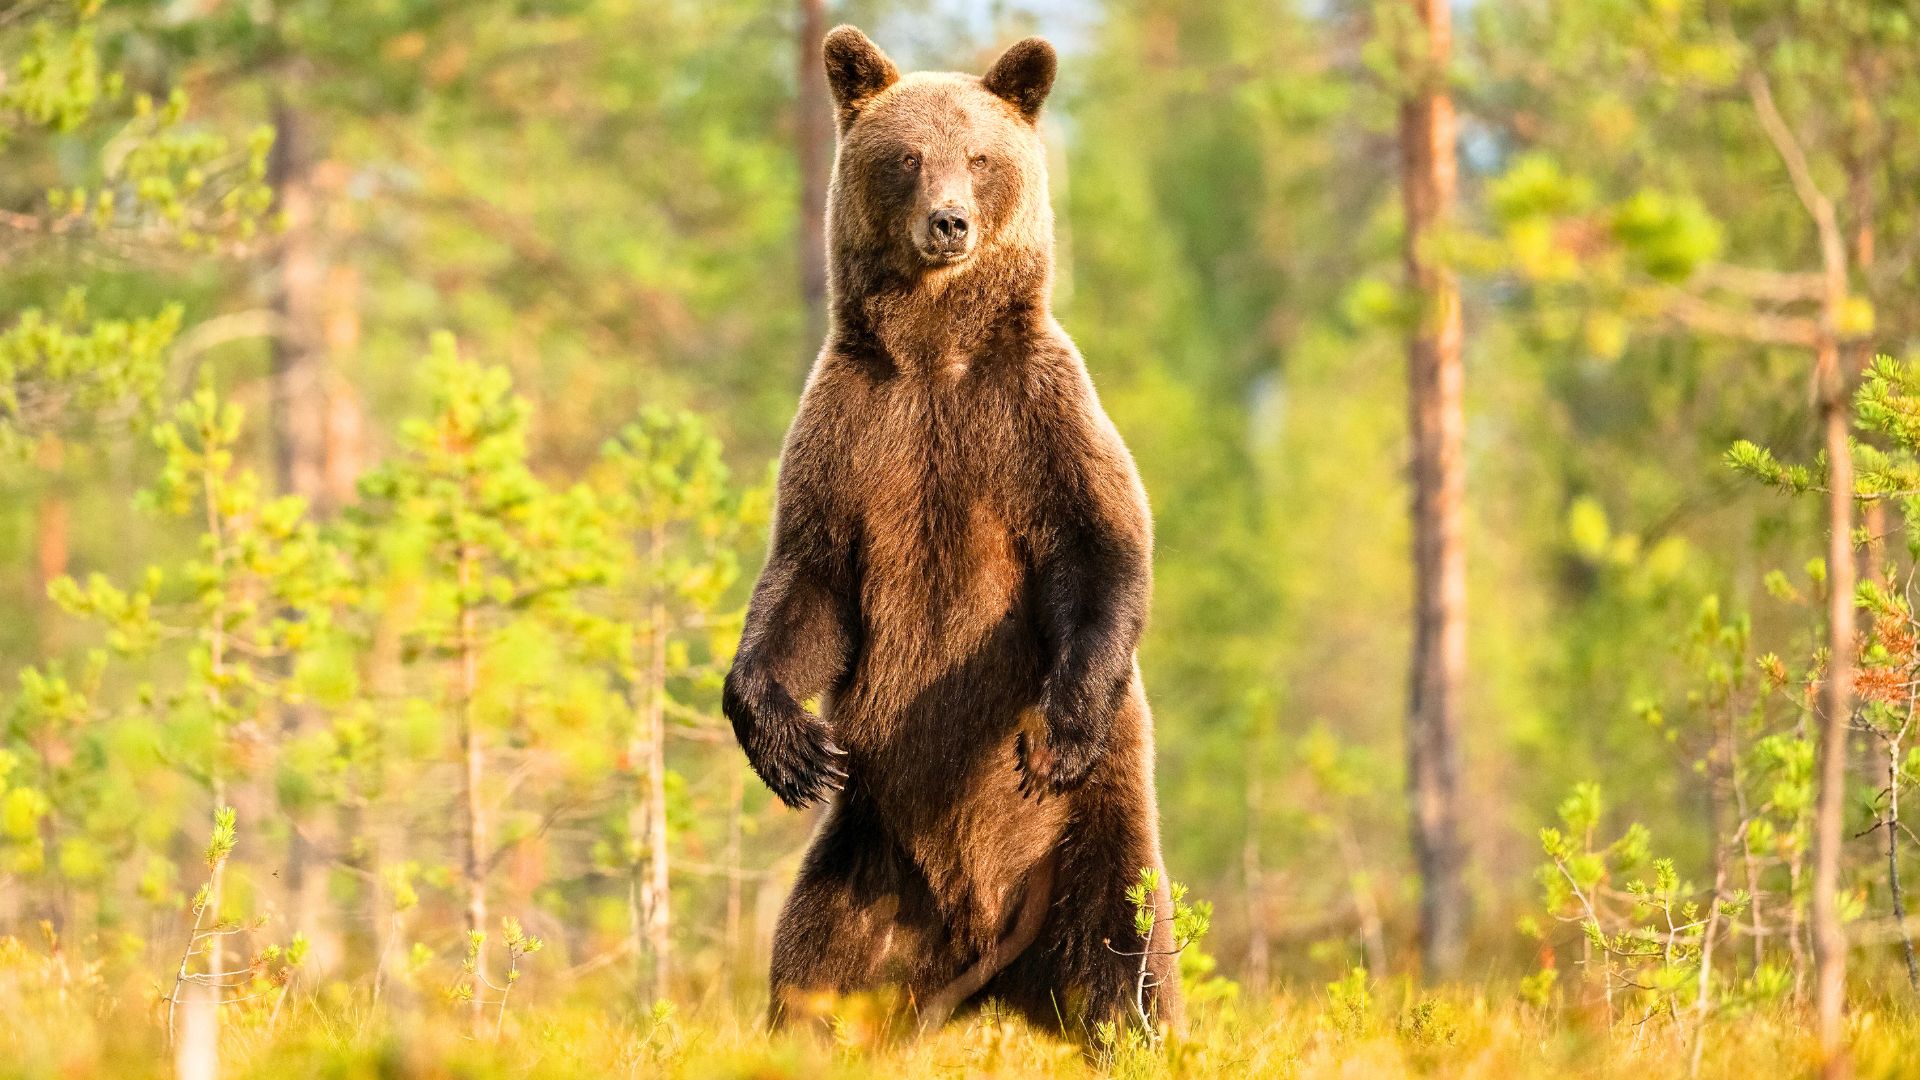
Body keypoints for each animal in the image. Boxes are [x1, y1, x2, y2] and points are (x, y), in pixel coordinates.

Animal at [722, 25, 1181, 1038]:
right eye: (905, 158)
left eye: (979, 156)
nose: (949, 224)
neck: (934, 355)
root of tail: (988, 964)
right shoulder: (853, 434)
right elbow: (808, 586)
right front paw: (789, 746)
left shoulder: (1031, 416)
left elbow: (1101, 546)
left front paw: (1055, 732)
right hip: (865, 862)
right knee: (812, 971)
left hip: (1097, 837)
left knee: (1124, 962)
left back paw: (1137, 1026)